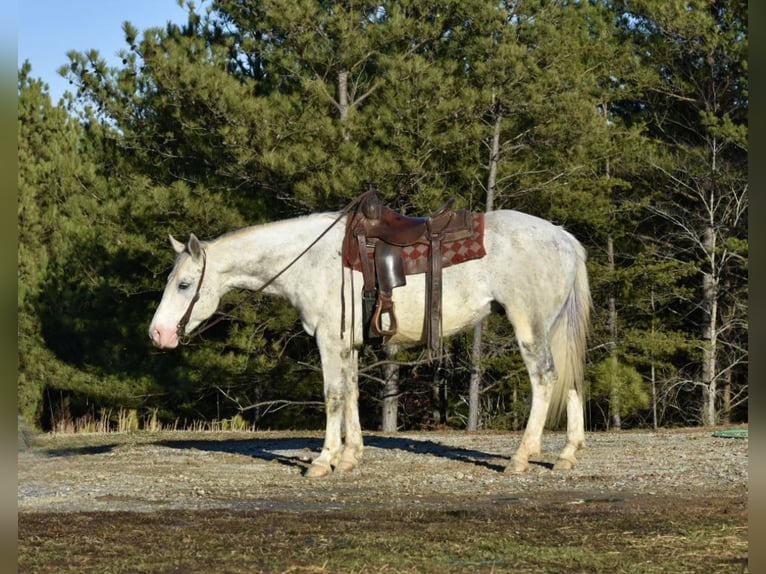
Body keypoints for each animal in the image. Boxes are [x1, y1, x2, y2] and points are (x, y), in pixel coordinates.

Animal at [150, 209, 592, 480]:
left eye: (184, 284)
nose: (158, 333)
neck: (312, 259)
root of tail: (563, 237)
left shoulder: (329, 339)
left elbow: (332, 396)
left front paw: (323, 460)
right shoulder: (348, 344)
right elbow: (351, 394)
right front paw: (350, 457)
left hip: (530, 326)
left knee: (545, 379)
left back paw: (520, 457)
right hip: (554, 327)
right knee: (571, 380)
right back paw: (568, 454)